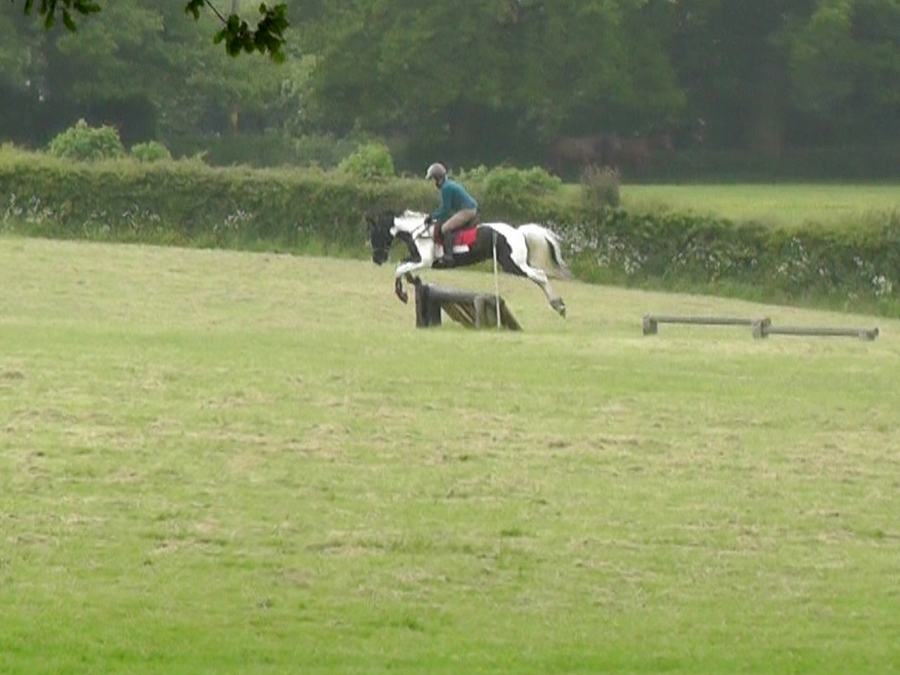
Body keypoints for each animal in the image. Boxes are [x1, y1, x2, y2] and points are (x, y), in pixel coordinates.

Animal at [366, 209, 569, 317]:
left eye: (375, 234)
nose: (377, 259)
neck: (417, 232)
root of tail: (517, 231)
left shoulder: (425, 261)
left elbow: (399, 269)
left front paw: (402, 294)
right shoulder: (416, 258)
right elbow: (403, 266)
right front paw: (411, 281)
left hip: (512, 264)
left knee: (540, 275)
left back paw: (558, 305)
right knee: (538, 277)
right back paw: (557, 304)